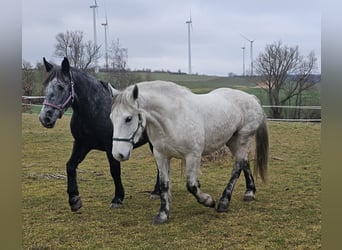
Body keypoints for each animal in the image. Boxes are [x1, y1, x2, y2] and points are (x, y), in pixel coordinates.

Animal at [39, 57, 160, 212]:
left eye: (60, 86)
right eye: (45, 85)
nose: (45, 117)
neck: (95, 109)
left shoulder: (111, 147)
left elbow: (114, 171)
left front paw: (117, 198)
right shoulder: (81, 144)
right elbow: (70, 166)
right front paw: (74, 199)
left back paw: (156, 192)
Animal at [108, 80, 268, 225]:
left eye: (128, 118)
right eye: (111, 118)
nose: (118, 154)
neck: (173, 117)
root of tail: (251, 98)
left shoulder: (193, 155)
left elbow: (191, 186)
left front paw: (208, 201)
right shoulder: (161, 155)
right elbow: (164, 185)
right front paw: (162, 215)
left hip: (242, 139)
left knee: (237, 168)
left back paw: (223, 202)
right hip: (232, 141)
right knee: (244, 162)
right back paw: (249, 192)